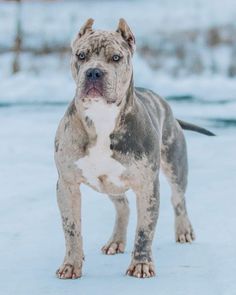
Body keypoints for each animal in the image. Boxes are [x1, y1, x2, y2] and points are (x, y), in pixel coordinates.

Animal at [54, 18, 215, 280]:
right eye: (81, 55)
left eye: (116, 57)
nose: (94, 72)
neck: (101, 117)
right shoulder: (67, 185)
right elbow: (71, 229)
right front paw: (71, 264)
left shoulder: (147, 186)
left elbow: (144, 230)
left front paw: (141, 264)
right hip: (108, 182)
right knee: (123, 206)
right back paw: (116, 241)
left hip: (175, 166)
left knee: (178, 199)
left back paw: (183, 230)